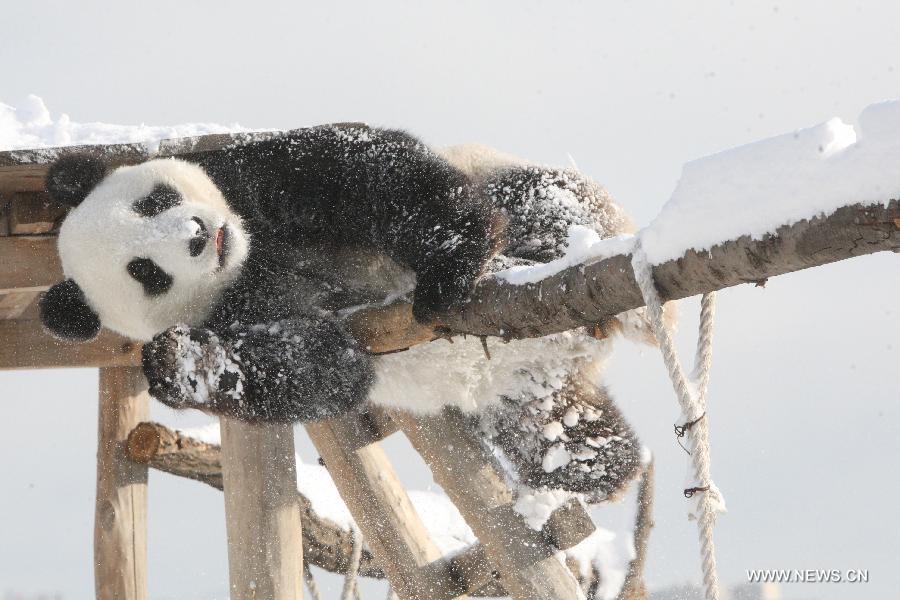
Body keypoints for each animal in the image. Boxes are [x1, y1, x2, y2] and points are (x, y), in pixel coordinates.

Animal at [38, 125, 652, 502]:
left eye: (154, 201)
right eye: (145, 271)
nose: (197, 236)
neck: (249, 258)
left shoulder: (252, 182)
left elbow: (360, 168)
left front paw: (450, 265)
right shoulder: (237, 308)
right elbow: (328, 368)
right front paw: (186, 363)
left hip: (536, 191)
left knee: (536, 198)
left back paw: (548, 251)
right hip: (528, 395)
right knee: (559, 439)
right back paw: (601, 464)